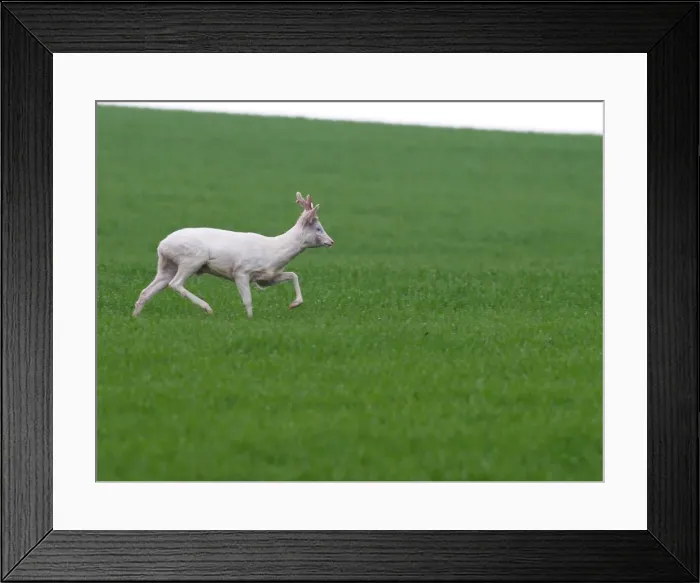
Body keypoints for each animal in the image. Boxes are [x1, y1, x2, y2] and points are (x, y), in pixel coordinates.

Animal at [132, 192, 334, 319]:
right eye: (318, 228)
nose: (331, 241)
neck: (274, 251)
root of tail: (162, 245)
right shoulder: (241, 271)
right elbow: (248, 299)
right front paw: (250, 319)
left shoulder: (265, 278)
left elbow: (293, 275)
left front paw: (294, 304)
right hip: (192, 258)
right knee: (176, 284)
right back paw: (207, 308)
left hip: (167, 266)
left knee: (147, 291)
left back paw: (135, 316)